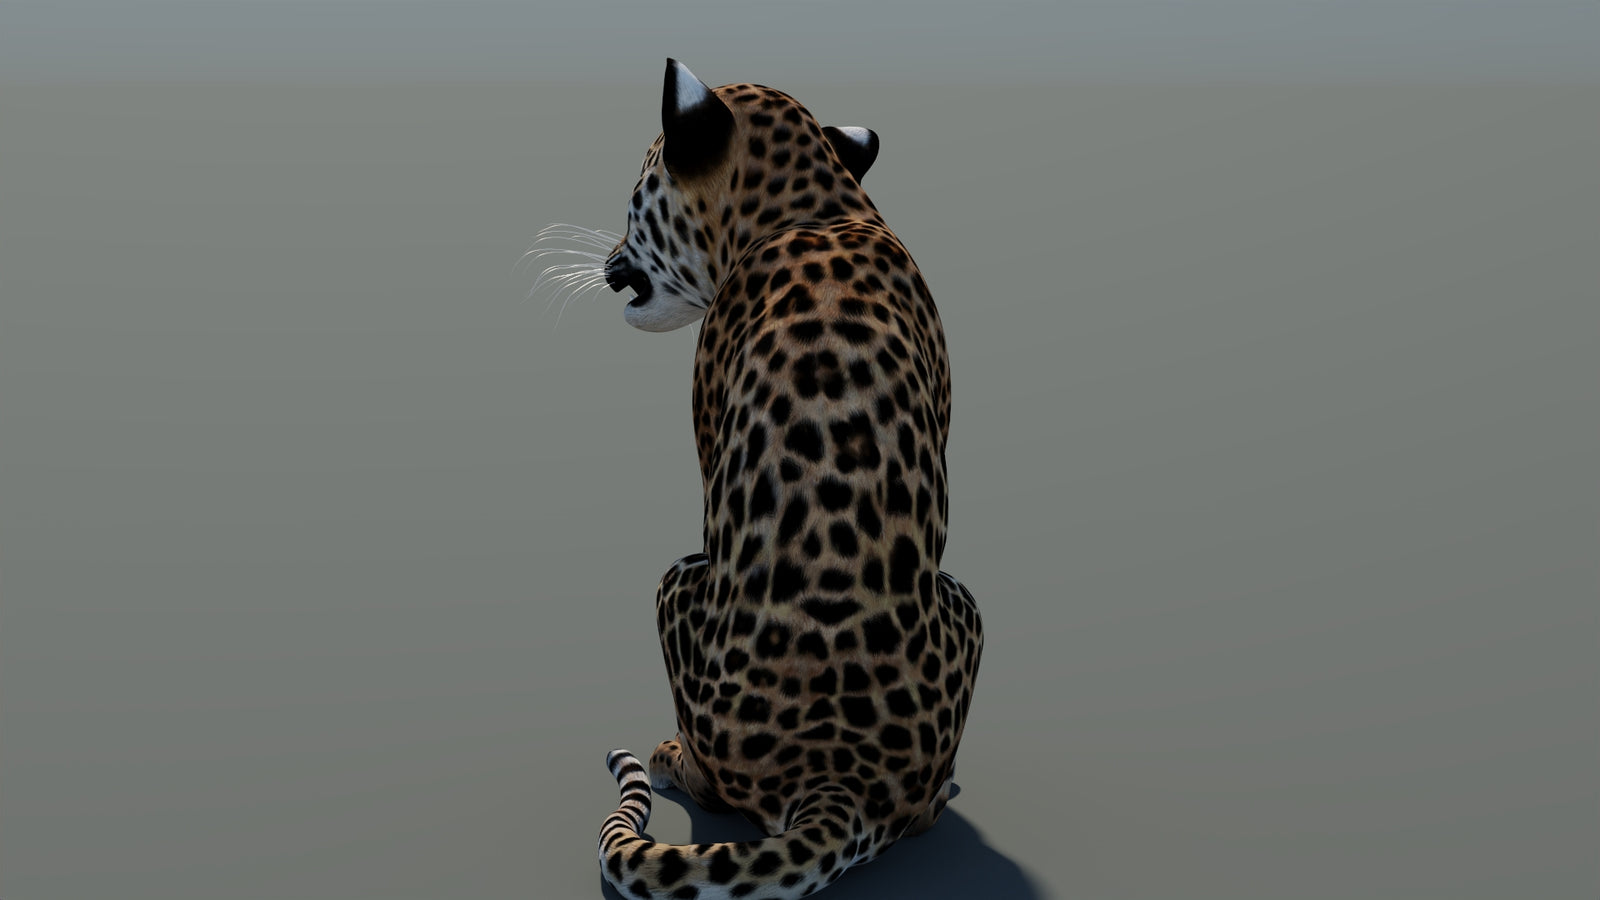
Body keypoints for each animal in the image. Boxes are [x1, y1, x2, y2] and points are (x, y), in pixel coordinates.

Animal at [584, 60, 983, 900]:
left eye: (636, 188)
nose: (612, 261)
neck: (818, 204)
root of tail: (839, 773)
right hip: (967, 601)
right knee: (918, 813)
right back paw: (943, 792)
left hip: (677, 579)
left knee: (714, 782)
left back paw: (672, 760)